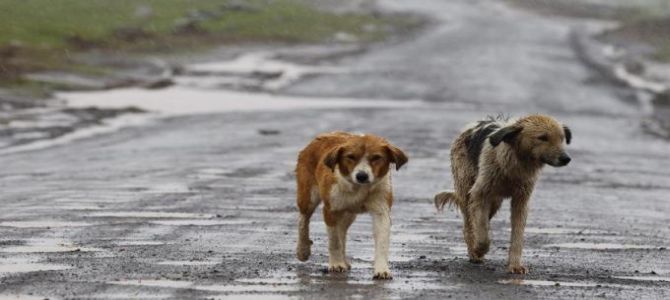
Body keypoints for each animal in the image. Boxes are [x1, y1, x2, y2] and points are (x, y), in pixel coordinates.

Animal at [296, 131, 410, 278]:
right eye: (351, 157)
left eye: (376, 157)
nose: (362, 176)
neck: (358, 189)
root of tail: (322, 136)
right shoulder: (330, 210)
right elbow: (334, 241)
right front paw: (336, 264)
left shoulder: (381, 211)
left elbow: (382, 242)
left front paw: (382, 269)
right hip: (308, 197)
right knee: (303, 220)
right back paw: (303, 250)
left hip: (349, 214)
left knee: (342, 231)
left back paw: (344, 260)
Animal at [436, 115, 572, 274]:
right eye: (542, 137)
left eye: (562, 138)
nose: (566, 159)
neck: (516, 165)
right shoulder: (479, 194)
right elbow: (482, 232)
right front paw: (479, 249)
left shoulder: (521, 201)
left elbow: (517, 235)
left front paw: (515, 265)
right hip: (467, 190)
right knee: (469, 225)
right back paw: (474, 253)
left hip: (495, 201)